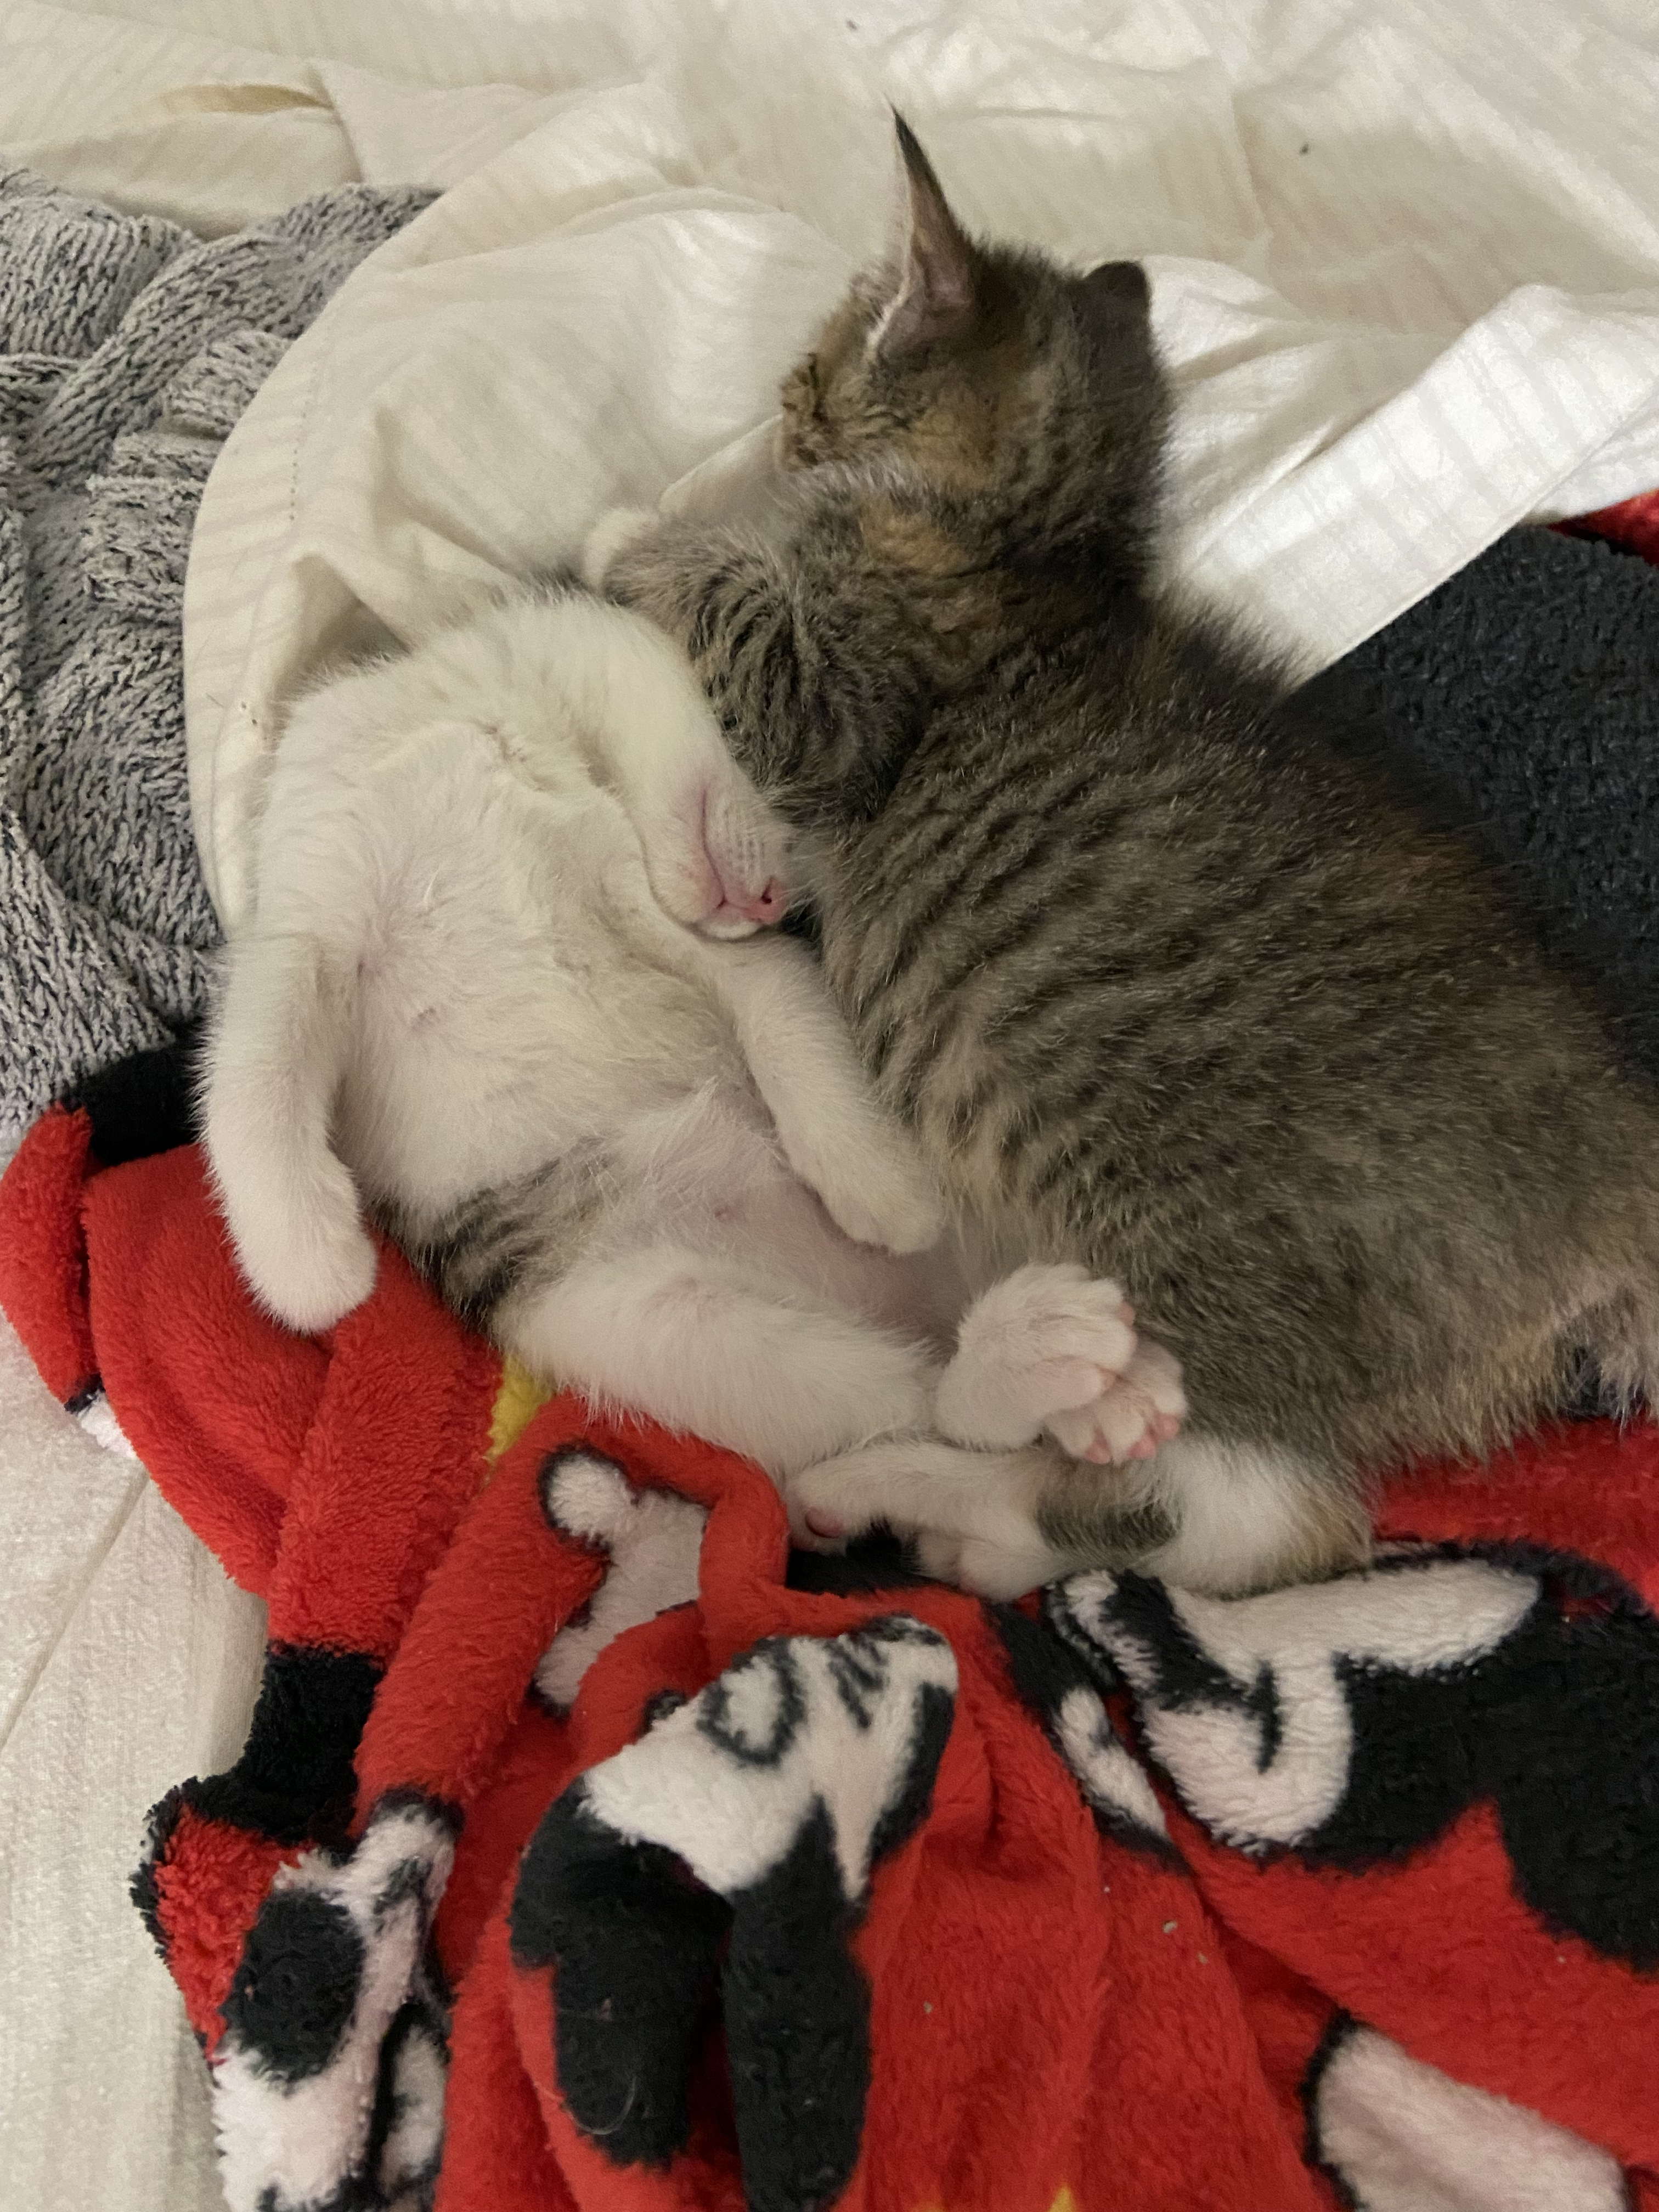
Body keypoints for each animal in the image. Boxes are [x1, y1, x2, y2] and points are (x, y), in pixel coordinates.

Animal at [201, 588, 1186, 1593]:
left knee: (939, 1403)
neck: (510, 724)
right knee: (898, 1395)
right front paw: (311, 1264)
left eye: (806, 912)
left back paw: (1054, 1373)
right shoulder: (314, 900)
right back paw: (1064, 1378)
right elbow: (254, 1063)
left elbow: (772, 991)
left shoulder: (655, 909)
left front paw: (871, 1172)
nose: (770, 902)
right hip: (641, 1323)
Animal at [592, 116, 1659, 1593]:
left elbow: (740, 608)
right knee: (1264, 1510)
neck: (1035, 548)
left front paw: (636, 535)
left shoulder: (839, 702)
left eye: (816, 368)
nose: (786, 408)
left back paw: (940, 1478)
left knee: (1248, 1509)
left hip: (1214, 1270)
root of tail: (1623, 1194)